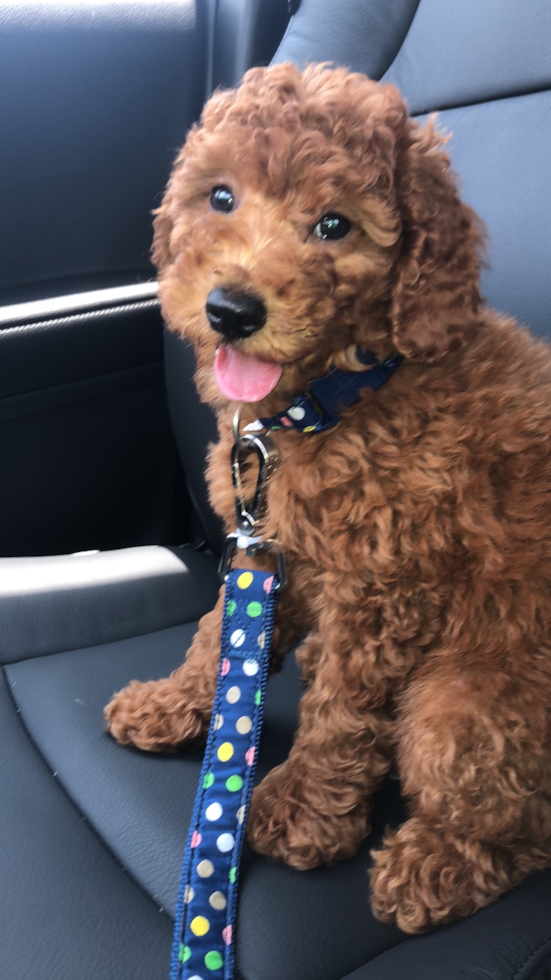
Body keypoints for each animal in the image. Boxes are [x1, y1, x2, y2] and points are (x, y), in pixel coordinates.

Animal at [104, 63, 551, 936]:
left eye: (334, 225)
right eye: (219, 197)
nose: (231, 310)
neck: (335, 396)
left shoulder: (383, 588)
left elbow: (344, 710)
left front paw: (301, 815)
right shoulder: (268, 546)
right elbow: (218, 638)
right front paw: (174, 707)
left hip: (466, 707)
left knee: (517, 825)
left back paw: (432, 867)